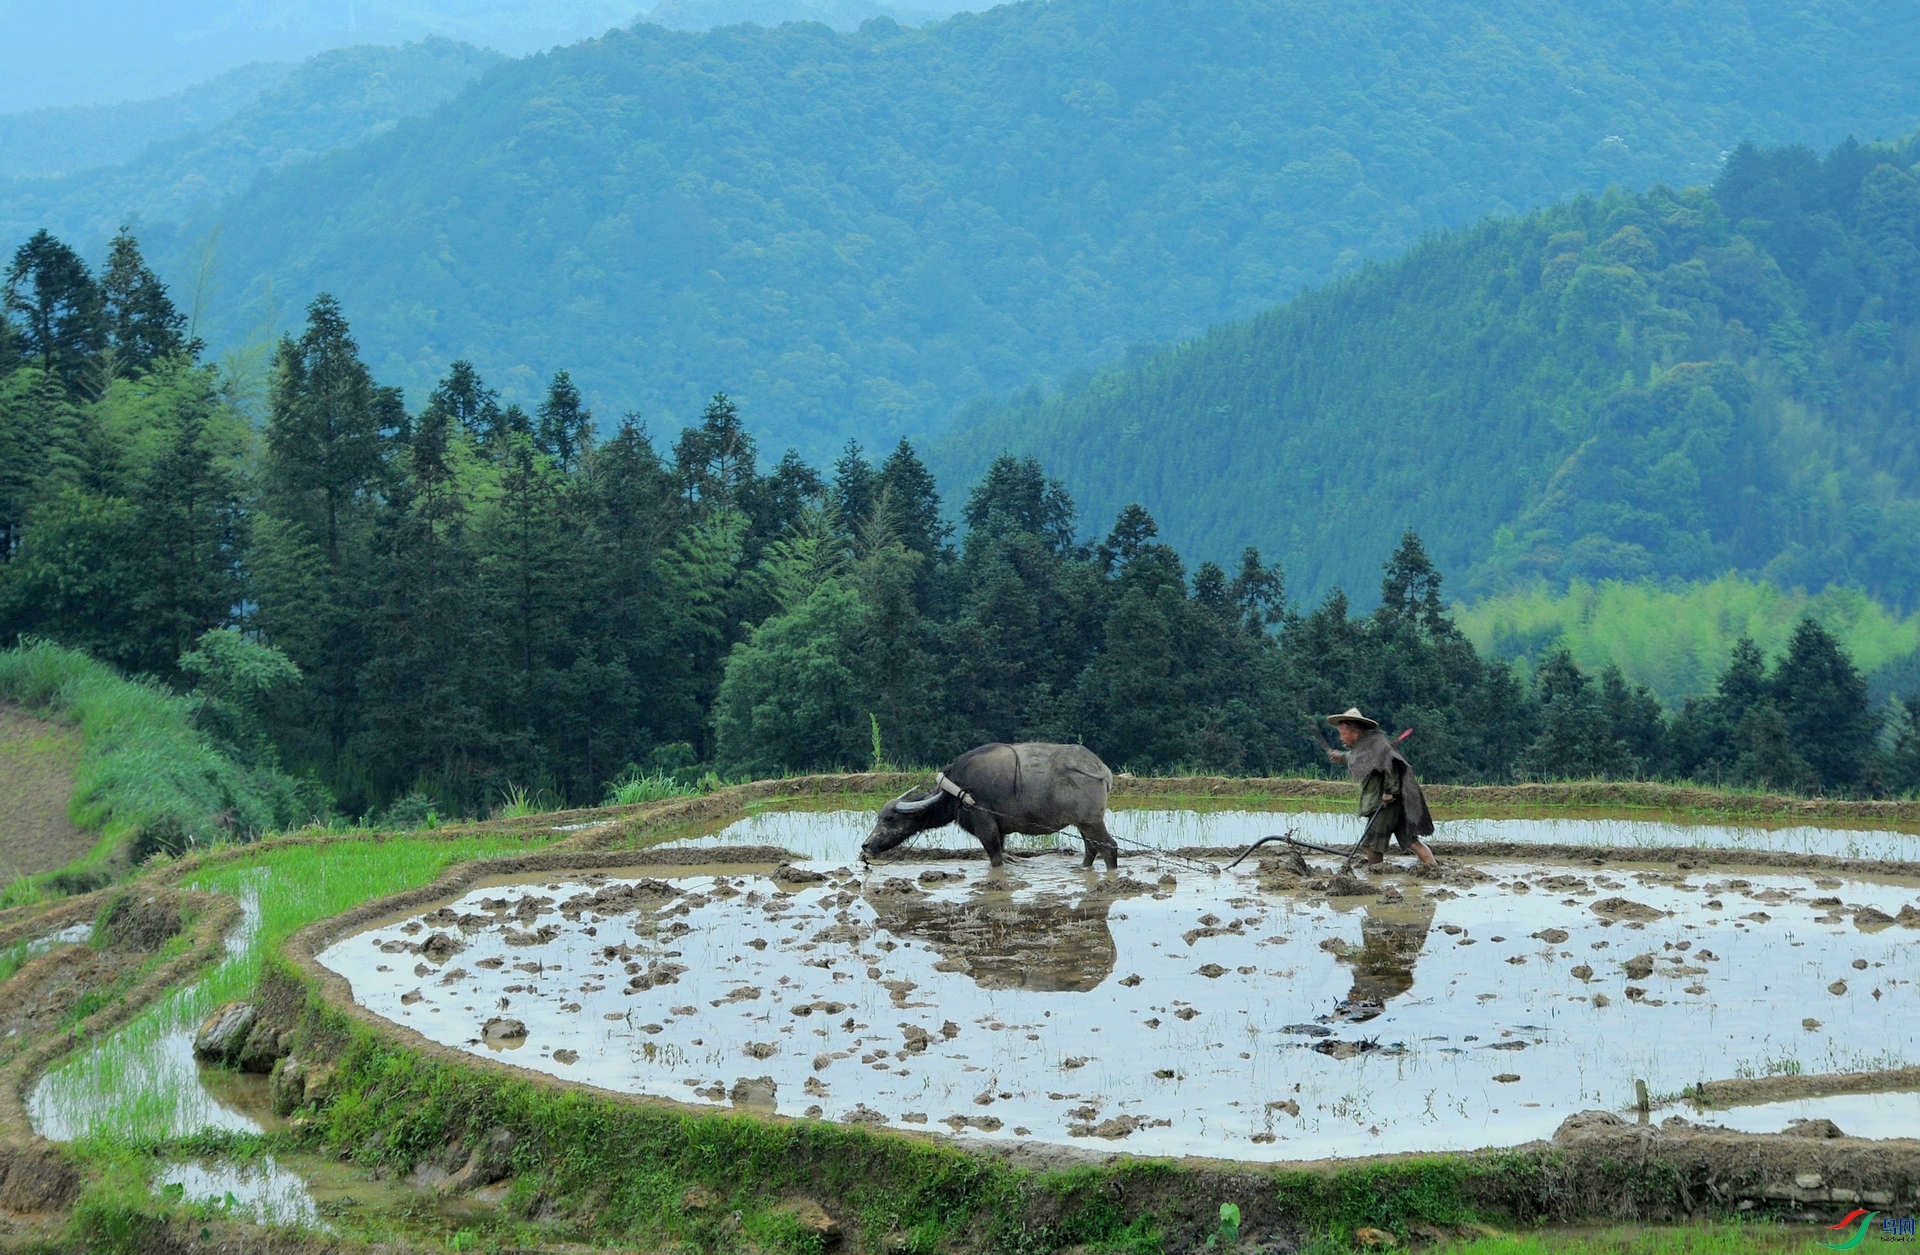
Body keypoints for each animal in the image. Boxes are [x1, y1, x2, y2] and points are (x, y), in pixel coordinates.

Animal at [860, 740, 1121, 871]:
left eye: (890, 819)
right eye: (878, 817)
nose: (866, 845)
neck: (958, 790)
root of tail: (1101, 768)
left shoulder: (986, 828)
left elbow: (996, 858)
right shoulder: (1001, 830)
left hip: (1092, 821)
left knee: (1109, 847)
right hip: (1083, 823)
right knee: (1091, 847)